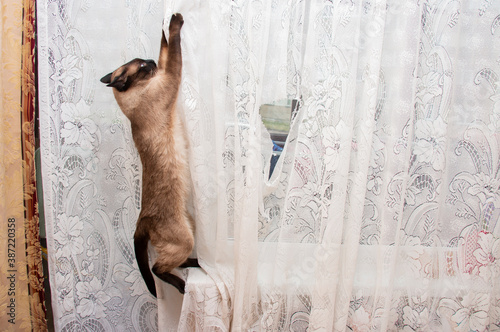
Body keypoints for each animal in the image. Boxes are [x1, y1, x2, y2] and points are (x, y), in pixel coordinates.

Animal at [100, 13, 197, 298]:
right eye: (142, 66)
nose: (151, 62)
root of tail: (141, 219)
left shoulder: (164, 72)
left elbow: (166, 48)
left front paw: (165, 25)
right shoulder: (169, 77)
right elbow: (173, 50)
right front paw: (175, 21)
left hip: (189, 225)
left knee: (172, 262)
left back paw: (195, 264)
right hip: (184, 238)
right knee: (157, 268)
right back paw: (181, 284)